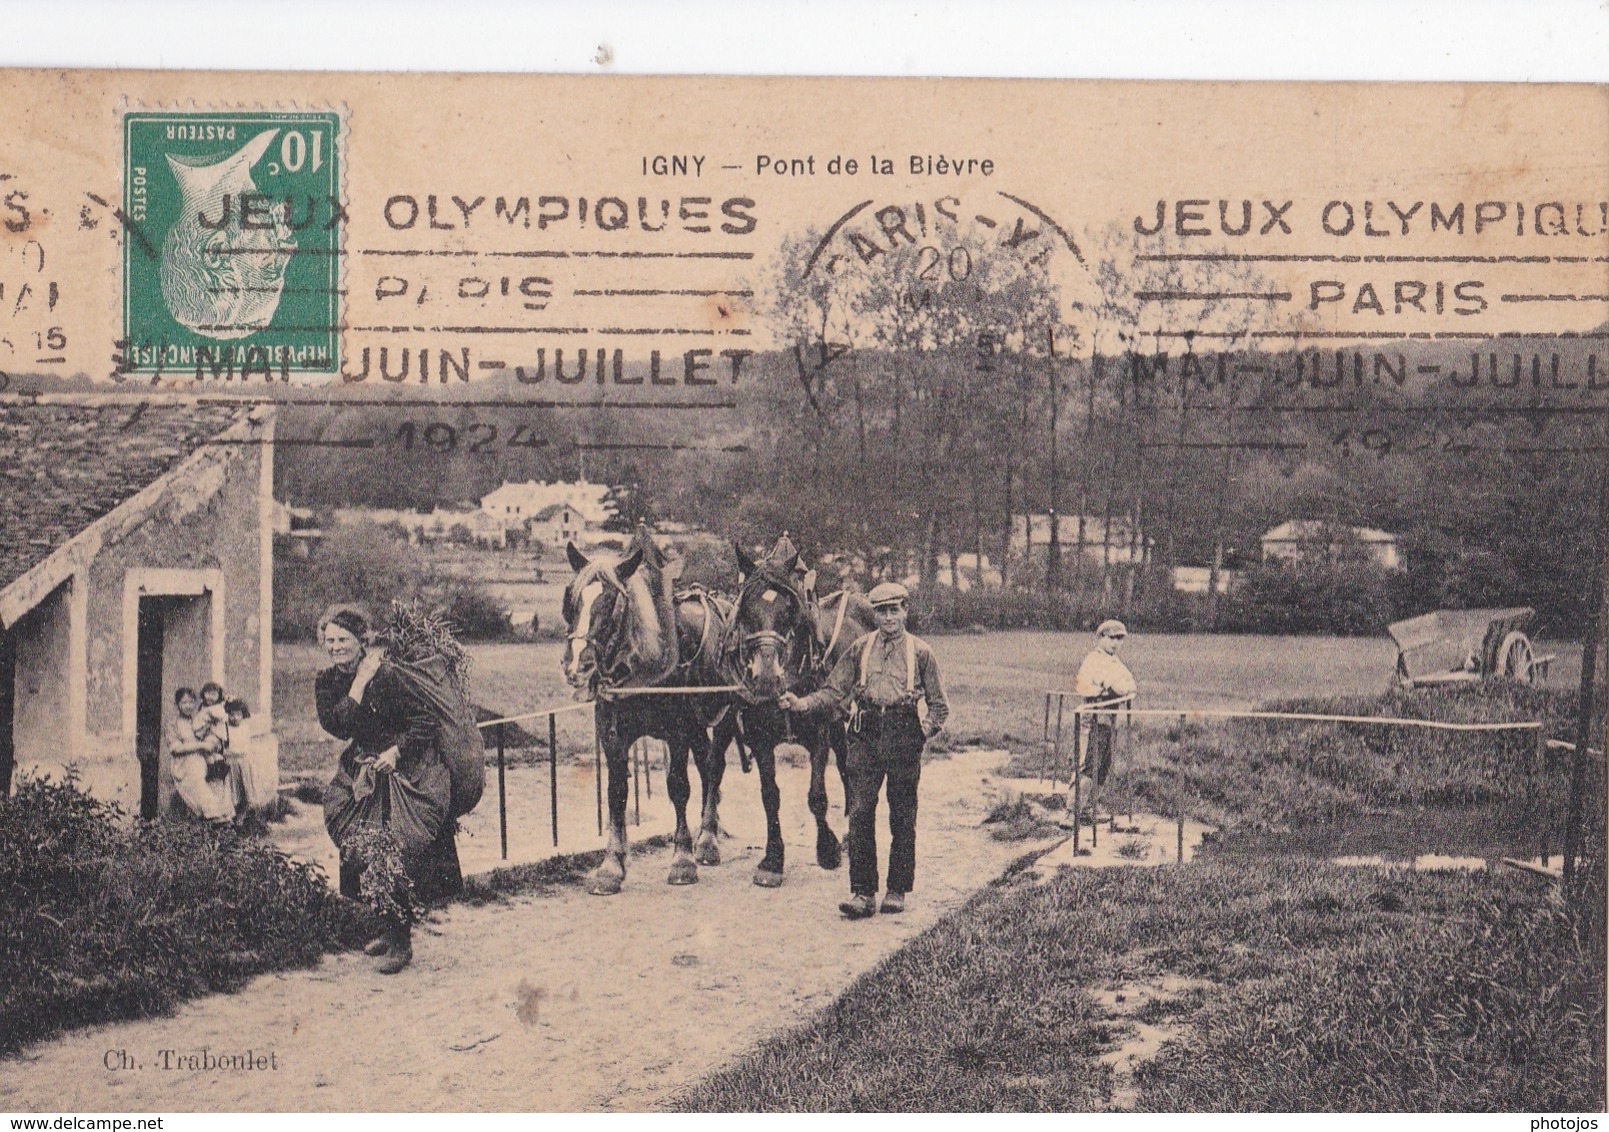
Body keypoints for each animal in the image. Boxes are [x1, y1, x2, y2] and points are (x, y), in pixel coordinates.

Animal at [559, 530, 736, 894]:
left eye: (611, 603)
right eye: (570, 599)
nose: (576, 667)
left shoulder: (678, 731)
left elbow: (678, 786)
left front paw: (682, 860)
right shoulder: (612, 733)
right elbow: (616, 792)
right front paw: (612, 865)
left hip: (724, 714)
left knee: (715, 767)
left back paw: (708, 841)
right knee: (707, 763)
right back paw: (707, 835)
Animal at [727, 533, 881, 887]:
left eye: (789, 610)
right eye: (745, 610)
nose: (766, 678)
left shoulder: (819, 735)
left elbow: (817, 796)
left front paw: (827, 850)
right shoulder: (760, 741)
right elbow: (770, 796)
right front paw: (772, 860)